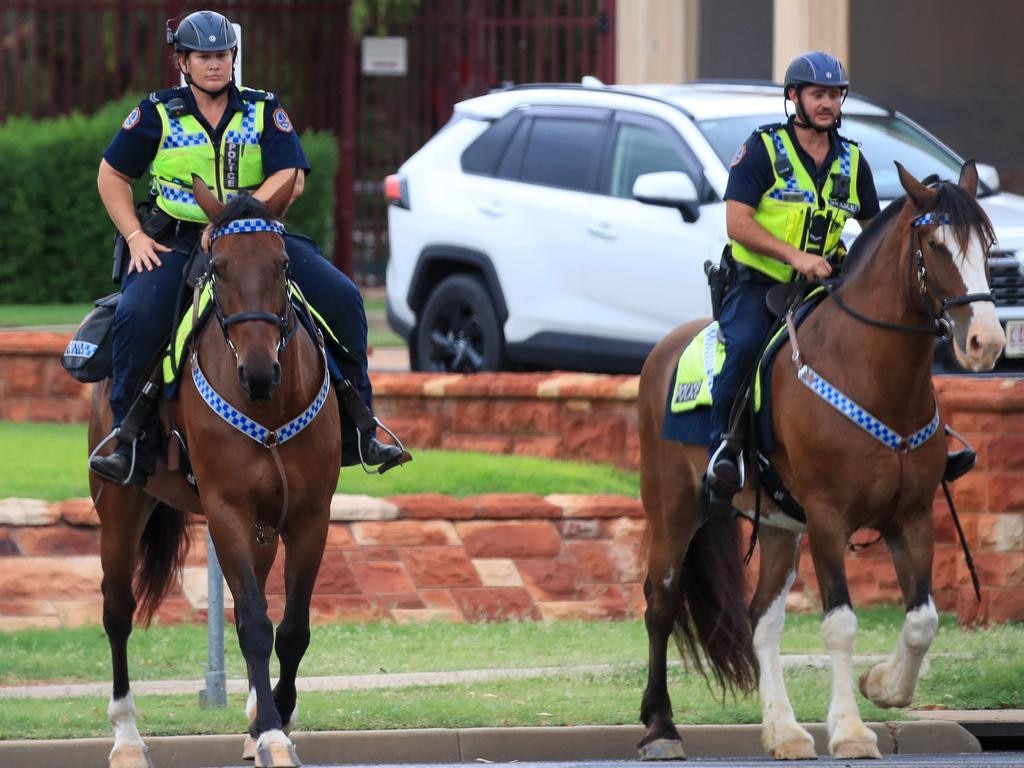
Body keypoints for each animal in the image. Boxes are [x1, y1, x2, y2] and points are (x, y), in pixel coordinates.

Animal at [86, 174, 337, 768]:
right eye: (217, 268)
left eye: (283, 264)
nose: (258, 371)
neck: (269, 408)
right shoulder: (226, 511)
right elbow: (252, 624)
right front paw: (272, 734)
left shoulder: (312, 515)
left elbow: (291, 628)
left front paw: (272, 718)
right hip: (120, 505)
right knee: (117, 609)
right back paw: (126, 736)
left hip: (265, 525)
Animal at [634, 159, 1003, 761]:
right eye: (935, 244)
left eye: (989, 245)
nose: (986, 343)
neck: (874, 375)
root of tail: (665, 348)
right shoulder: (829, 518)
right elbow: (840, 624)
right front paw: (851, 730)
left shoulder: (913, 516)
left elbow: (922, 619)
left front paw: (883, 686)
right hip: (673, 508)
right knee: (661, 603)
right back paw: (660, 728)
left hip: (780, 526)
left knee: (761, 619)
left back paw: (783, 731)